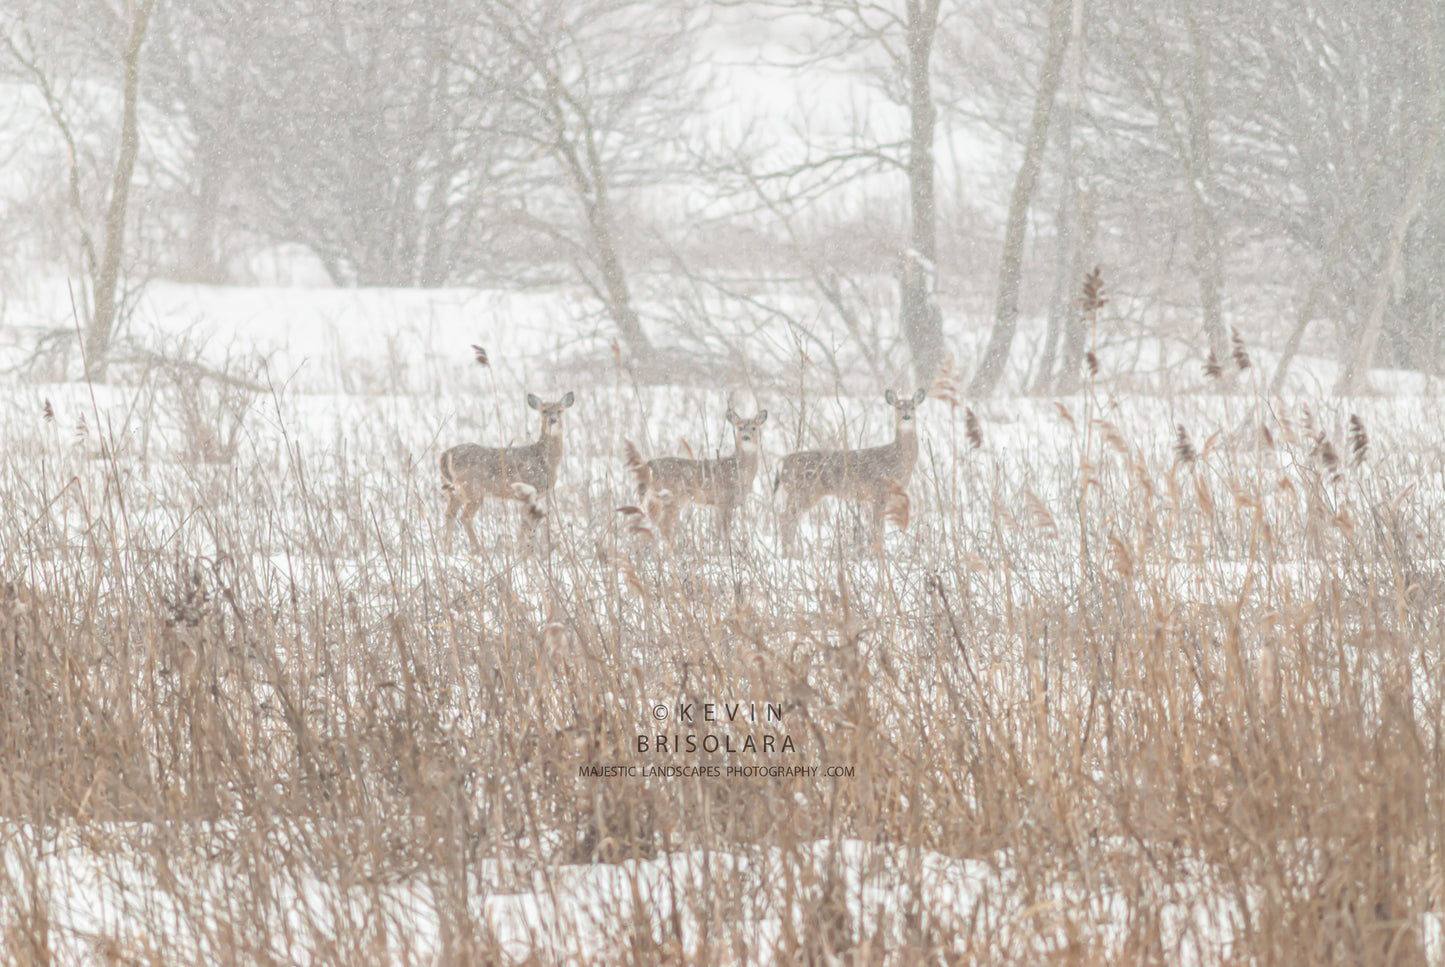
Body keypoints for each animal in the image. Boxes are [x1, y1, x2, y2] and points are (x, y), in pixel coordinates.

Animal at [439, 387, 575, 549]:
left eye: (560, 410)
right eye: (544, 411)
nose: (553, 420)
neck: (545, 459)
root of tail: (445, 455)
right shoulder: (531, 490)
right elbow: (526, 526)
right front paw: (524, 550)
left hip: (456, 490)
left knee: (449, 514)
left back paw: (448, 549)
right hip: (473, 488)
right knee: (465, 517)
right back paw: (478, 550)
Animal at [630, 410, 768, 543]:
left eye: (754, 428)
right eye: (739, 428)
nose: (746, 437)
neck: (739, 470)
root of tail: (649, 465)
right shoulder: (724, 499)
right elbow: (725, 531)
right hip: (672, 496)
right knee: (664, 525)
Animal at [780, 387, 924, 549]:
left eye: (913, 407)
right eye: (898, 407)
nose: (906, 416)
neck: (897, 459)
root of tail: (784, 462)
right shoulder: (878, 492)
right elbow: (878, 530)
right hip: (805, 490)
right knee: (785, 519)